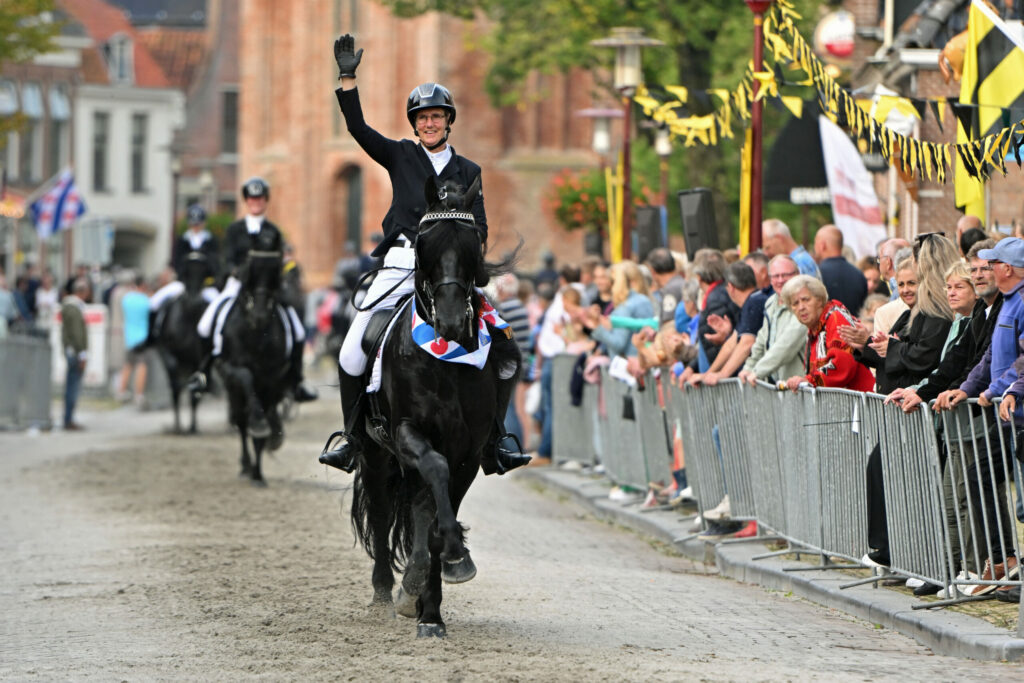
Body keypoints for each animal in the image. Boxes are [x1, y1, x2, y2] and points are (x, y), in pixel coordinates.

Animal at [155, 251, 215, 434]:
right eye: (187, 272)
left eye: (204, 272)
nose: (194, 301)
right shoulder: (168, 352)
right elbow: (175, 385)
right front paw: (177, 426)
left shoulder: (198, 360)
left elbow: (195, 392)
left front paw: (193, 427)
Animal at [216, 232, 291, 486]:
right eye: (251, 268)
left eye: (276, 269)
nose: (259, 316)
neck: (256, 334)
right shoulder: (233, 369)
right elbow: (246, 378)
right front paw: (258, 425)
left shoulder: (271, 378)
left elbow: (265, 419)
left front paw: (259, 474)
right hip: (232, 389)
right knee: (241, 421)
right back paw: (246, 464)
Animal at [347, 175, 519, 638]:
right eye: (426, 242)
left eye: (473, 242)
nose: (452, 322)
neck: (445, 363)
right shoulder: (411, 434)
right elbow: (432, 488)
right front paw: (437, 573)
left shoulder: (469, 453)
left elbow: (439, 513)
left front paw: (432, 605)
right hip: (376, 455)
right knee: (384, 513)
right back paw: (385, 592)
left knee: (420, 507)